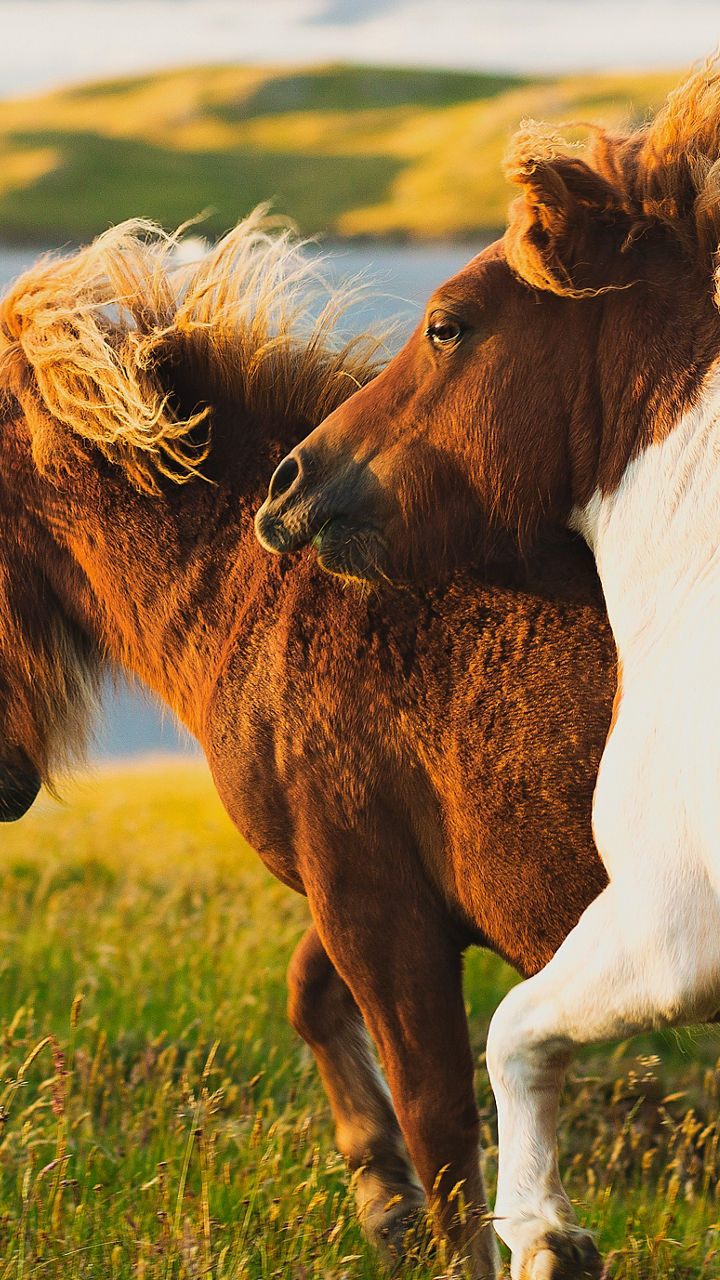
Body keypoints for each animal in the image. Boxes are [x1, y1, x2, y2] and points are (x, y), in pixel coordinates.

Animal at [0, 216, 615, 1279]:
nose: (0, 784)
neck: (277, 594)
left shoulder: (374, 901)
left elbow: (440, 1118)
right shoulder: (369, 883)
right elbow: (309, 997)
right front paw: (382, 1198)